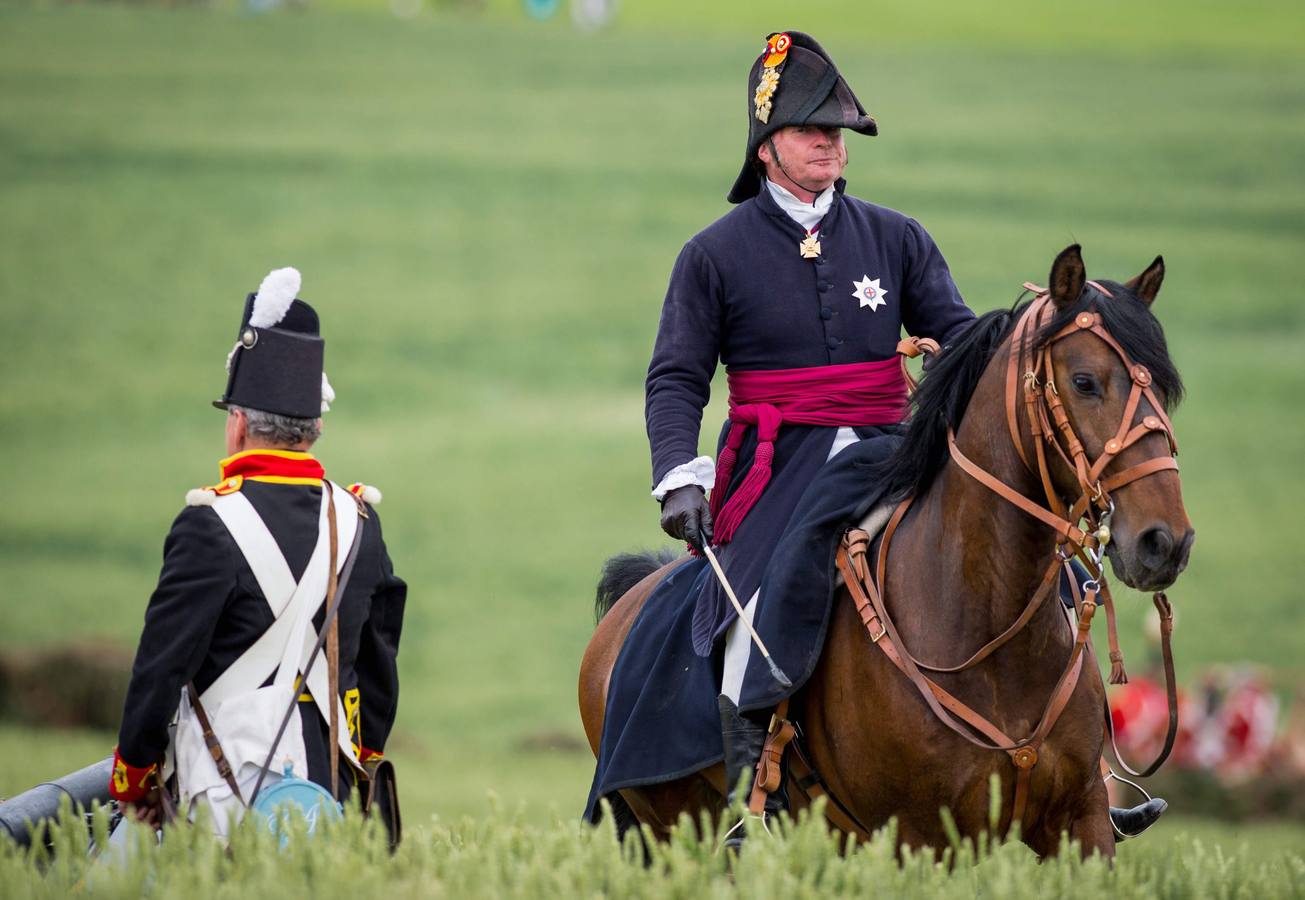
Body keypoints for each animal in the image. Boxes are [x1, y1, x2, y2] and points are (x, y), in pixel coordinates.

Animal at [582, 243, 1195, 855]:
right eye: (1086, 381)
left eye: (1164, 389)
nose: (1164, 542)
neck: (987, 633)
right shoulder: (917, 837)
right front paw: (684, 504)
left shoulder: (1081, 822)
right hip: (673, 832)